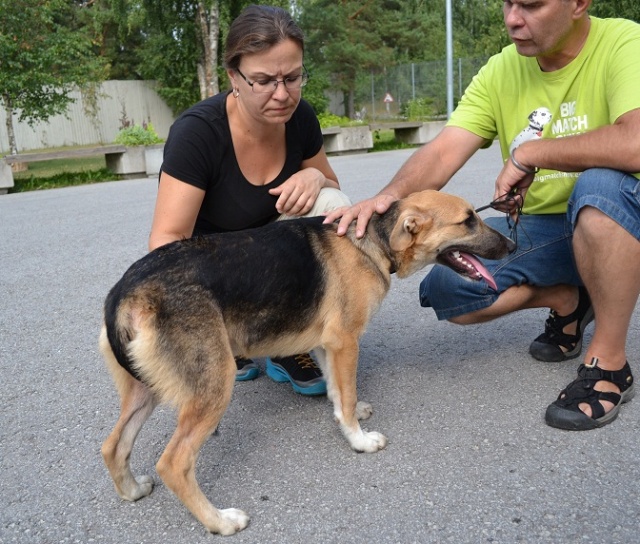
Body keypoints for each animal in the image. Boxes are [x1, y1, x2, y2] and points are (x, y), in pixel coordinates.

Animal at [100, 189, 515, 535]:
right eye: (468, 220)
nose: (512, 244)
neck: (372, 241)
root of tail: (125, 291)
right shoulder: (345, 341)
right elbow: (345, 394)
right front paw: (359, 441)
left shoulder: (326, 344)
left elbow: (337, 390)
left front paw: (348, 419)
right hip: (214, 386)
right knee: (173, 463)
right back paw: (219, 521)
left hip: (145, 391)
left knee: (113, 446)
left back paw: (132, 490)